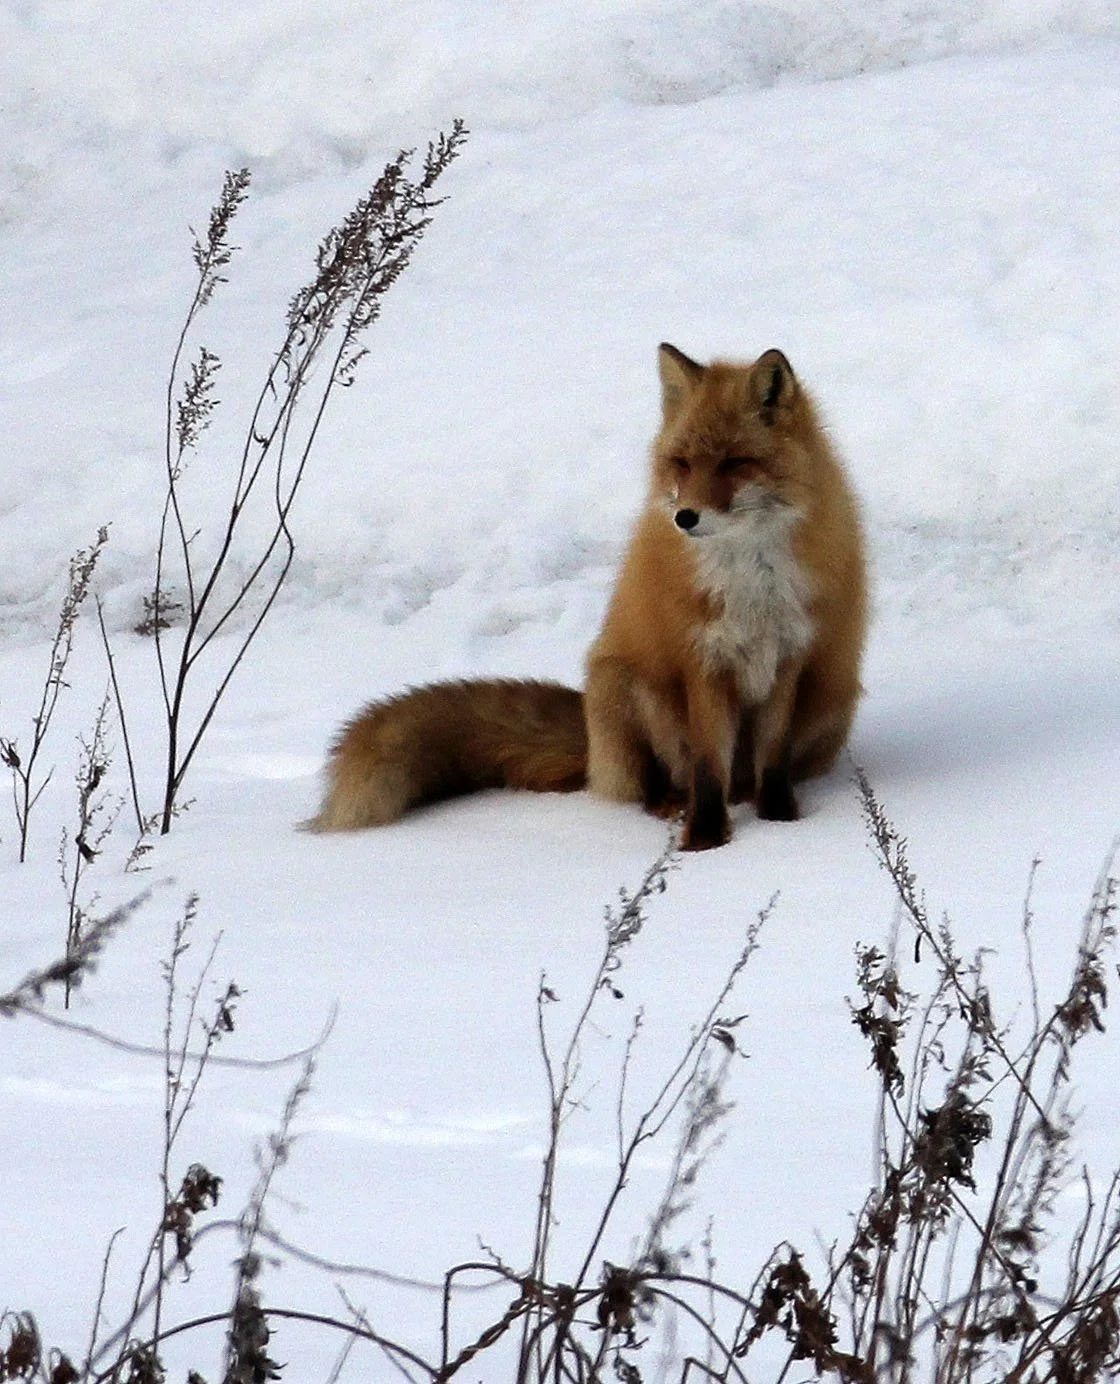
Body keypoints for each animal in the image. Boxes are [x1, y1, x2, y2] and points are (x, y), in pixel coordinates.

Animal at [309, 343, 867, 849]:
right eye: (682, 463)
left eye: (735, 463)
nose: (684, 518)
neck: (751, 579)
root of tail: (592, 748)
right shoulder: (703, 664)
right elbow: (709, 768)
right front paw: (705, 844)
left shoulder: (788, 658)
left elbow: (773, 760)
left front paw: (782, 826)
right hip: (627, 686)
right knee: (658, 785)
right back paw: (670, 805)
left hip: (833, 701)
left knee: (747, 780)